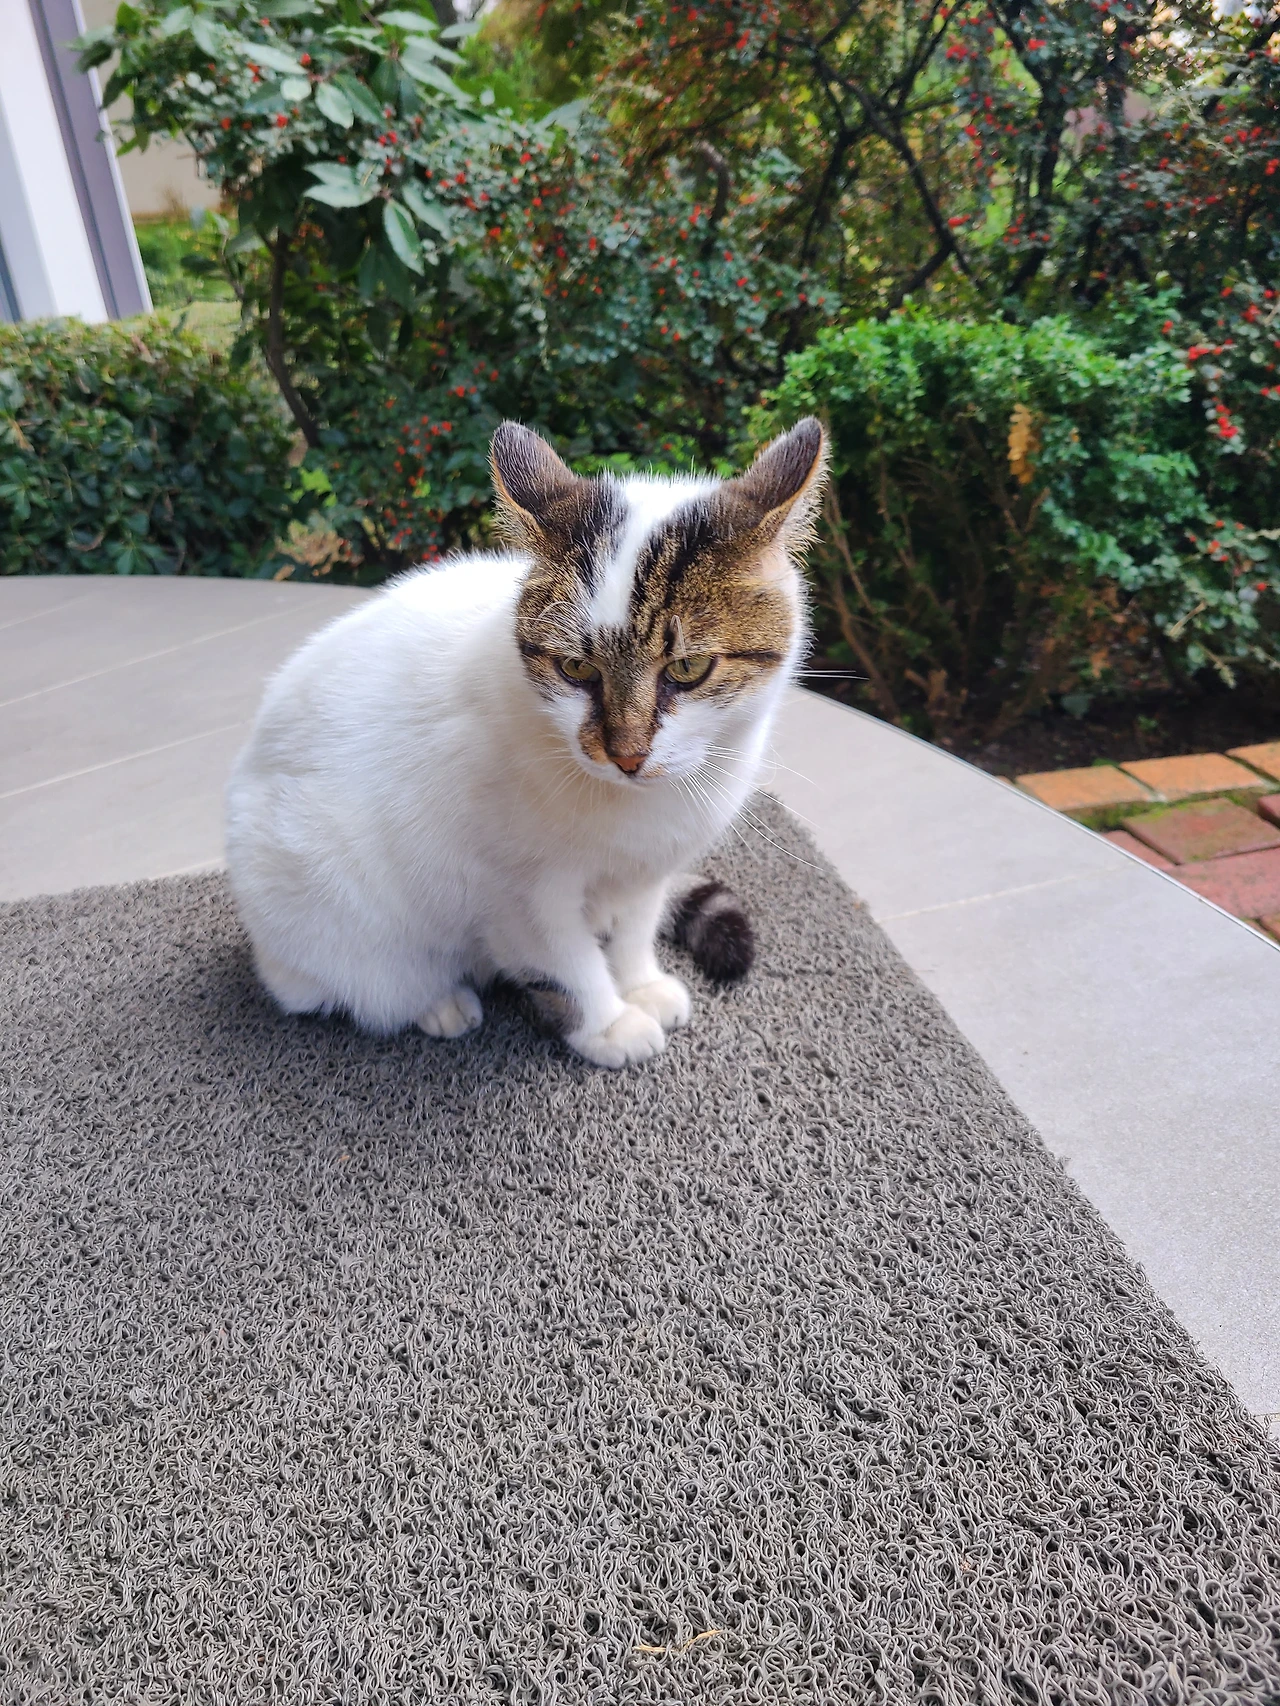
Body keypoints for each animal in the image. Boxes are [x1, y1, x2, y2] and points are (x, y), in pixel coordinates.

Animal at [224, 416, 827, 1067]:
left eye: (688, 668)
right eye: (576, 669)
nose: (626, 755)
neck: (637, 806)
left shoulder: (647, 871)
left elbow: (635, 927)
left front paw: (639, 984)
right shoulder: (512, 892)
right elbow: (567, 962)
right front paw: (610, 1024)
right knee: (363, 984)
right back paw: (437, 1002)